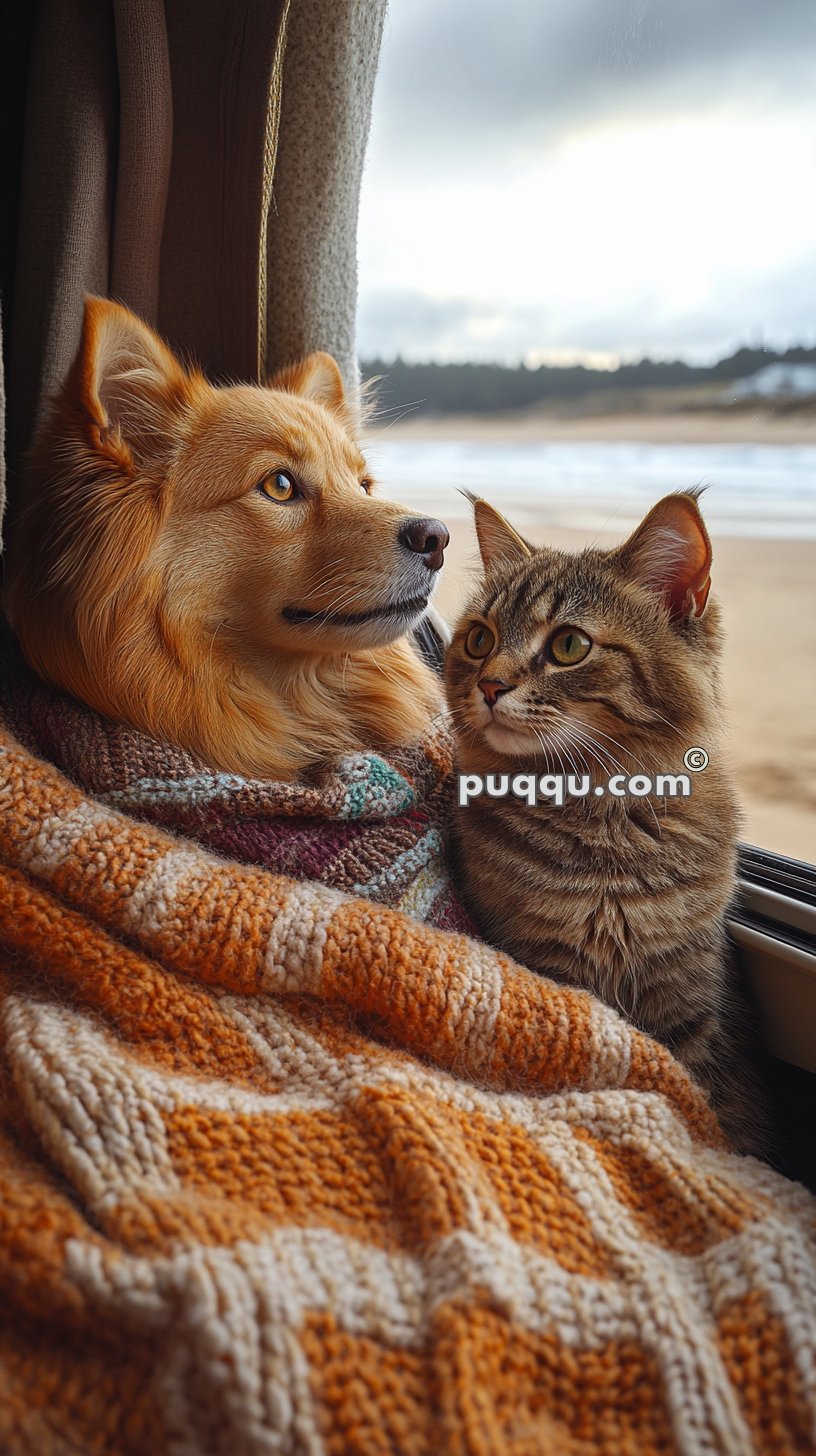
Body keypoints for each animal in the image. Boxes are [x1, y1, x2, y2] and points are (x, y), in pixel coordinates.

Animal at [448, 495, 769, 1153]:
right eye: (479, 639)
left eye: (569, 645)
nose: (490, 685)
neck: (603, 817)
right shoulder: (549, 970)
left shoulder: (688, 995)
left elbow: (697, 1099)